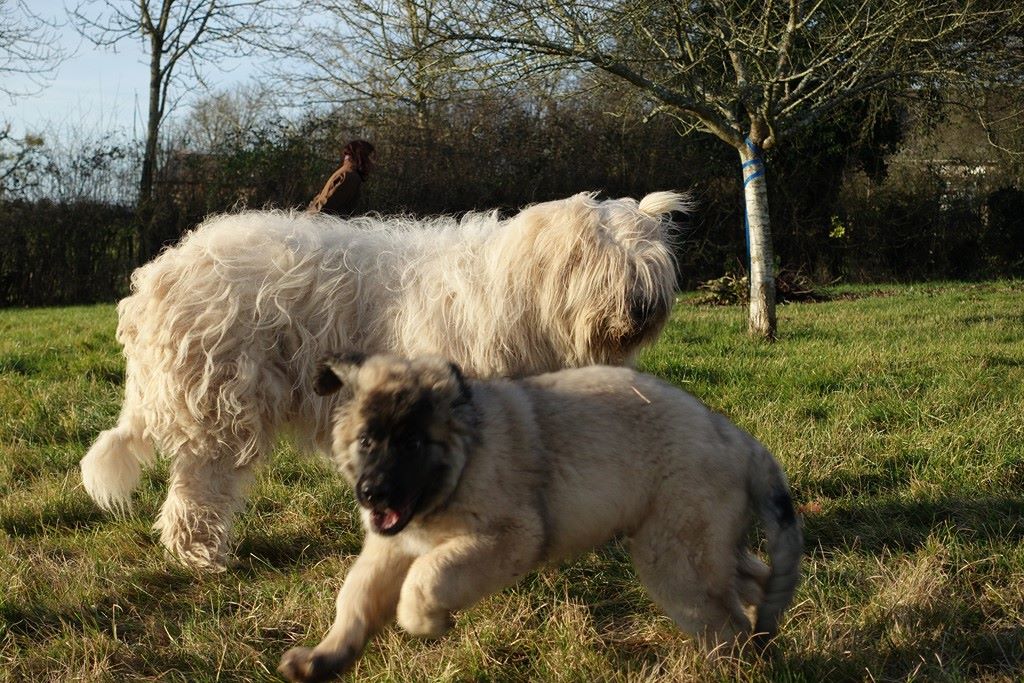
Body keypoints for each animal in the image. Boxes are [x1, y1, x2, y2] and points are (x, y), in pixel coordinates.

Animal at [81, 189, 688, 569]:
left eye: (653, 266)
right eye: (606, 268)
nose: (643, 308)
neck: (522, 301)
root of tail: (159, 277)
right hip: (218, 405)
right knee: (197, 489)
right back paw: (201, 557)